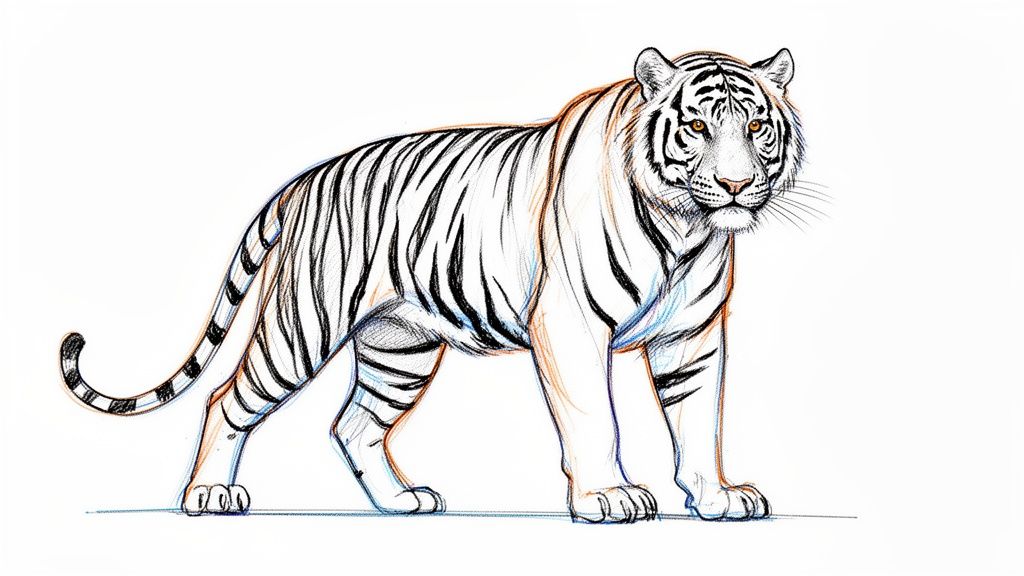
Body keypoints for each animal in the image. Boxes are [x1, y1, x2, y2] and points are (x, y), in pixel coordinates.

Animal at [59, 47, 805, 523]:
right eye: (698, 127)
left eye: (757, 126)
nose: (736, 184)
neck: (687, 227)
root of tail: (303, 181)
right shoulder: (569, 326)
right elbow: (597, 418)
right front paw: (609, 499)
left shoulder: (694, 335)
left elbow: (699, 421)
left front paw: (717, 497)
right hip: (302, 327)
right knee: (226, 399)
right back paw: (208, 495)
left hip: (400, 347)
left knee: (354, 423)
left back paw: (402, 502)